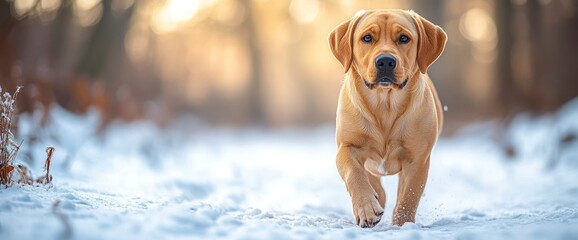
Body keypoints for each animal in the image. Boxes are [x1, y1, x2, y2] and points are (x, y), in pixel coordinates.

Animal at [326, 8, 444, 227]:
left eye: (404, 38)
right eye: (367, 38)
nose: (386, 61)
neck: (384, 106)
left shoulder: (417, 159)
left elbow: (408, 197)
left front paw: (402, 225)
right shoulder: (347, 147)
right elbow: (355, 174)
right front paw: (366, 209)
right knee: (374, 183)